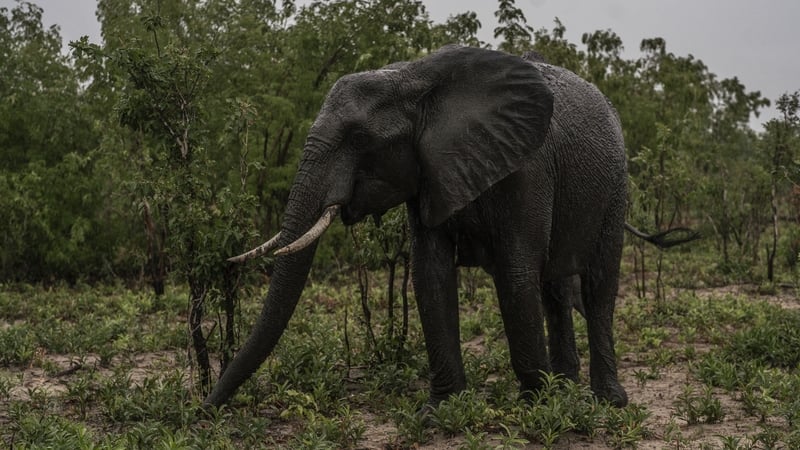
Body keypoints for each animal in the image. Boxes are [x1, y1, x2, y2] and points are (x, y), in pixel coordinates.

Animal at [203, 45, 689, 410]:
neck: (415, 79)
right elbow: (430, 274)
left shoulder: (528, 168)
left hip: (616, 186)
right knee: (554, 289)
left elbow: (515, 277)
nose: (204, 410)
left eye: (359, 139)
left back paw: (606, 402)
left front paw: (537, 409)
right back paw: (567, 389)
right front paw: (442, 411)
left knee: (598, 285)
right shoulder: (427, 172)